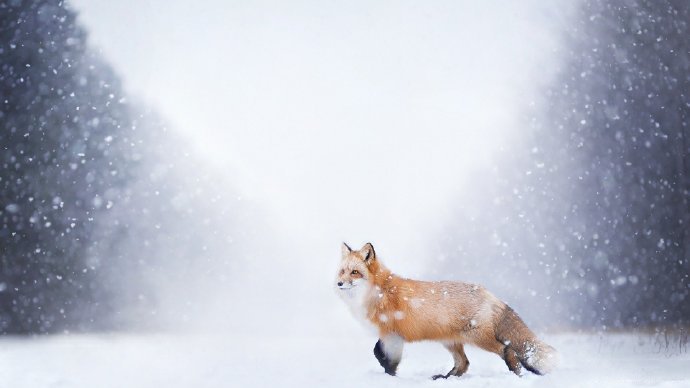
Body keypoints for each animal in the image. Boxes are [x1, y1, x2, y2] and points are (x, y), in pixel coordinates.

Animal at [336, 242, 556, 378]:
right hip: (450, 341)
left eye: (355, 272)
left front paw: (390, 377)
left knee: (506, 349)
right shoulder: (387, 335)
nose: (339, 283)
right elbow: (376, 351)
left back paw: (516, 372)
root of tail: (490, 294)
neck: (379, 293)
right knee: (464, 363)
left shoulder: (392, 336)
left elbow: (388, 360)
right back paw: (446, 378)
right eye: (342, 271)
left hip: (476, 337)